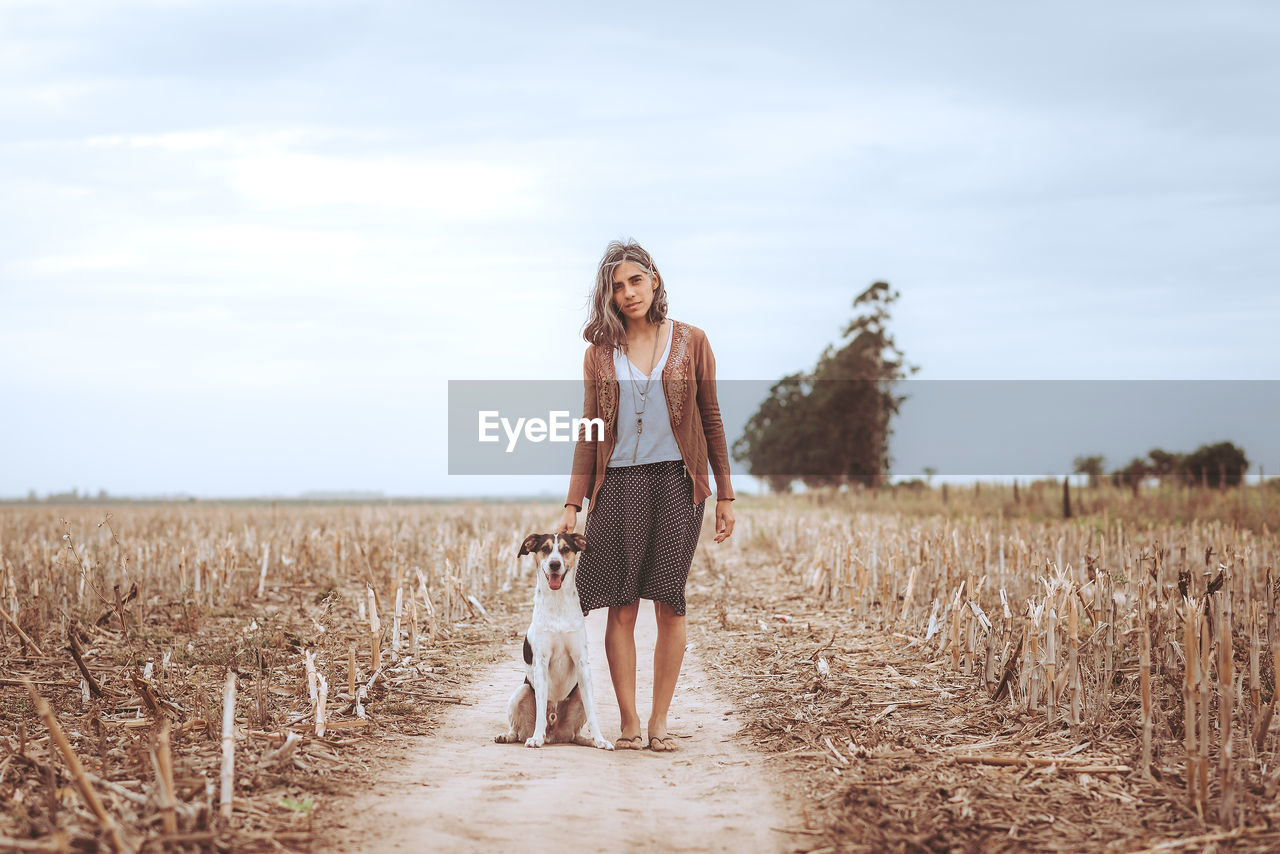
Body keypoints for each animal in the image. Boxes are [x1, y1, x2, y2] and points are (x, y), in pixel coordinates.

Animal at [494, 530, 614, 752]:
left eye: (566, 549)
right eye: (545, 548)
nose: (555, 564)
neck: (557, 603)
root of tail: (554, 734)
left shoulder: (581, 663)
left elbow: (593, 712)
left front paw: (600, 739)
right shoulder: (541, 663)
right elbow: (541, 706)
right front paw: (536, 738)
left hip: (579, 695)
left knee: (576, 734)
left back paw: (588, 740)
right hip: (521, 691)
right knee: (516, 730)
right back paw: (510, 736)